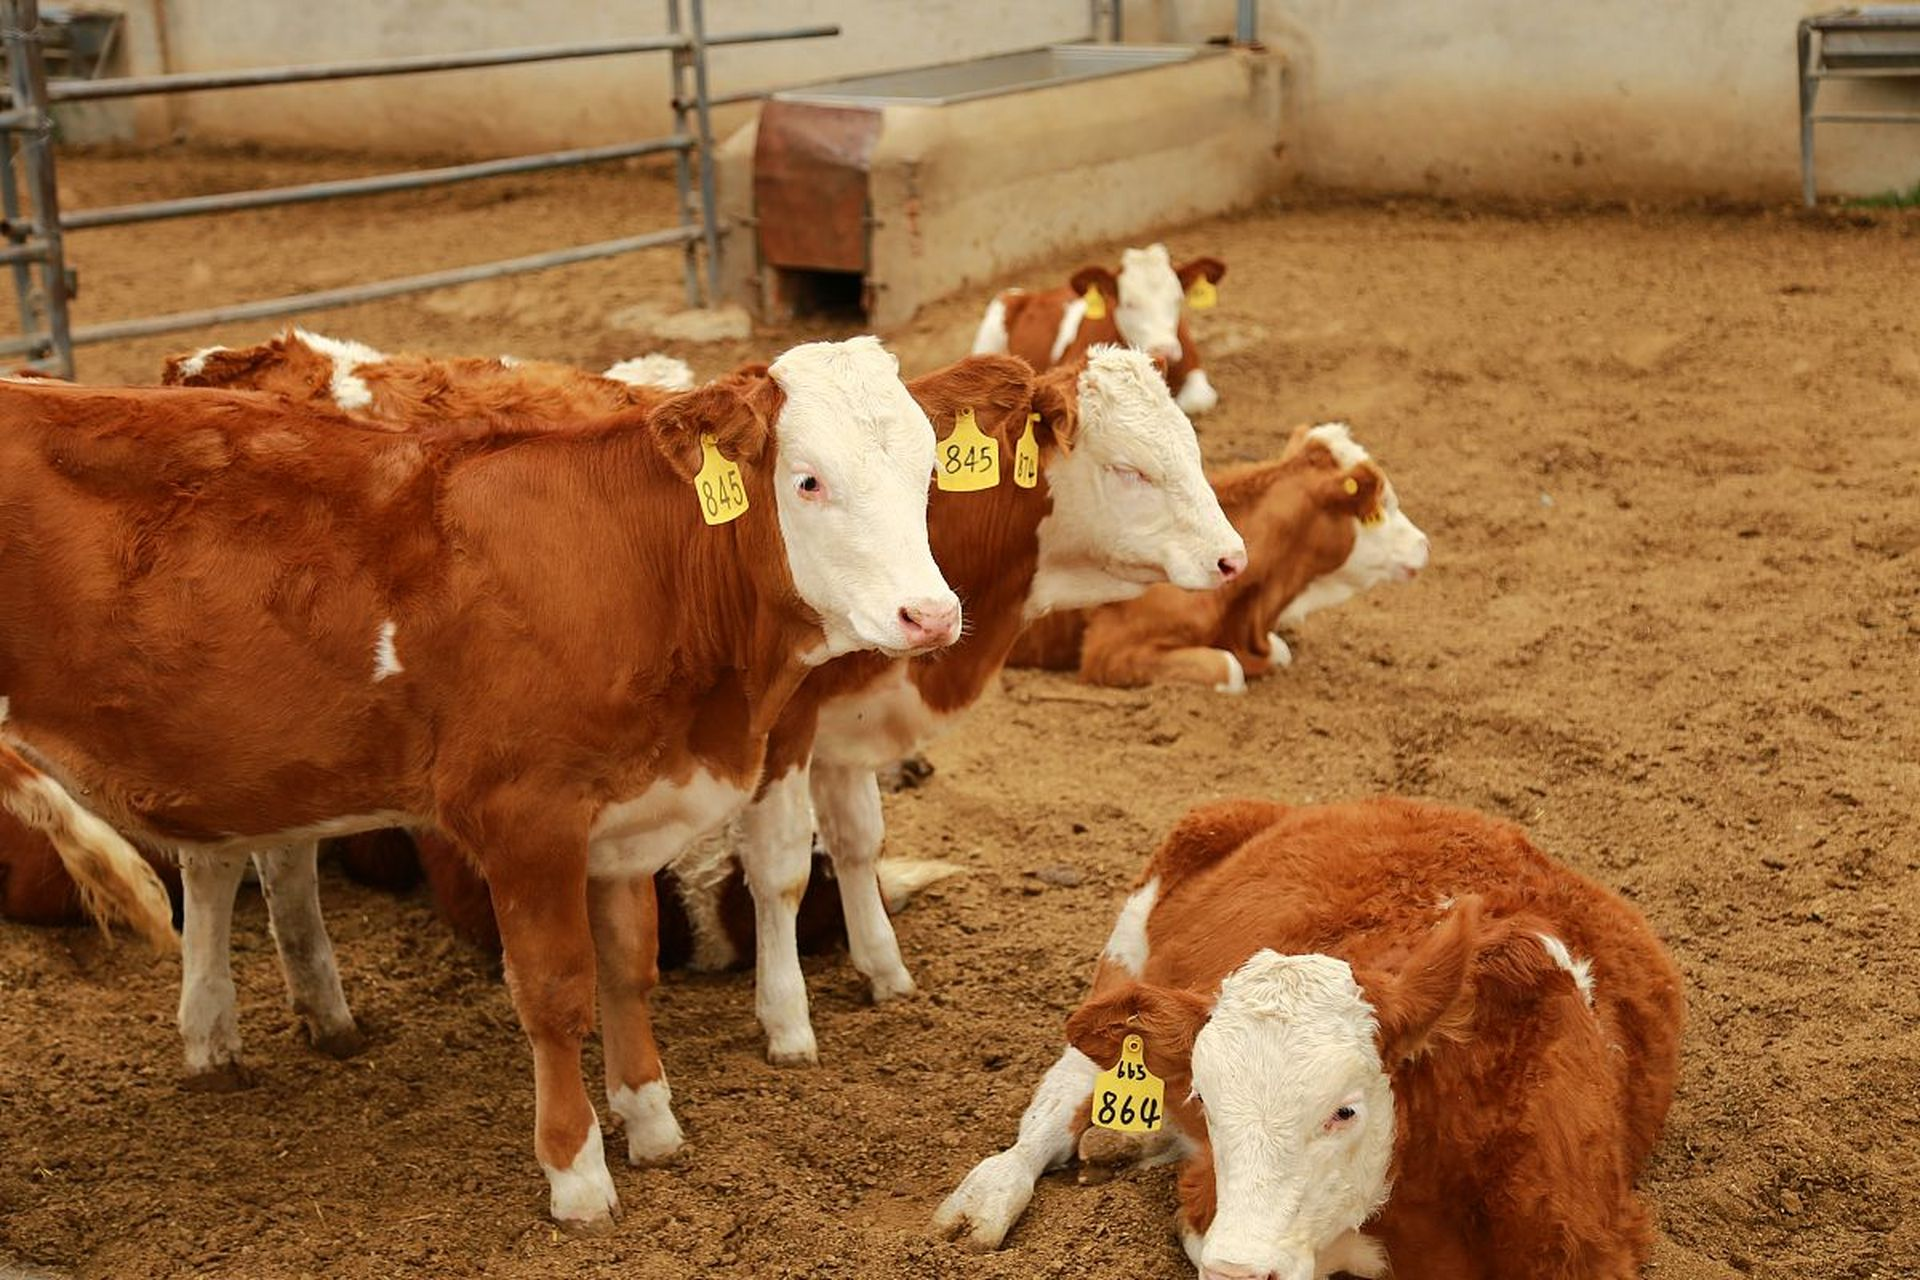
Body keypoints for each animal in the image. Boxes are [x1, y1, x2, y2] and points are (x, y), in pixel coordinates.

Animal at [0, 336, 961, 1230]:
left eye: (927, 471)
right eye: (808, 481)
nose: (932, 614)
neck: (632, 564)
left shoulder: (622, 818)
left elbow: (628, 969)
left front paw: (651, 1123)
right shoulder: (523, 819)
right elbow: (555, 993)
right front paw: (577, 1177)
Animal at [161, 332, 1247, 1081]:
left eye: (929, 468)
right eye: (1131, 468)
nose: (1233, 558)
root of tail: (224, 361)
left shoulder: (841, 723)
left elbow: (857, 840)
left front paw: (883, 969)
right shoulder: (782, 726)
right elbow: (780, 871)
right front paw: (788, 1021)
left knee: (273, 850)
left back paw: (319, 1009)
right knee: (216, 864)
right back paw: (214, 1033)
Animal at [934, 798, 1685, 1279]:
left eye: (1344, 1110)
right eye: (1208, 1103)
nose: (1239, 1272)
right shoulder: (1210, 1209)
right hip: (1127, 947)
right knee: (1061, 1093)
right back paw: (987, 1197)